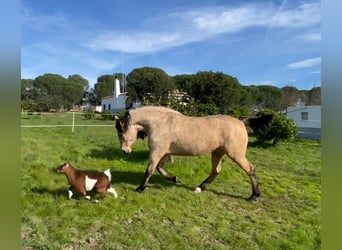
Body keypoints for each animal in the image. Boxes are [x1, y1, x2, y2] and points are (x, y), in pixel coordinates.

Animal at [114, 105, 260, 201]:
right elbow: (160, 168)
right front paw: (174, 179)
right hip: (217, 152)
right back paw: (200, 188)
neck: (159, 123)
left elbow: (150, 170)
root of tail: (241, 122)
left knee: (250, 170)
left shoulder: (157, 152)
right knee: (216, 171)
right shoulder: (164, 153)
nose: (124, 151)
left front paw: (140, 188)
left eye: (120, 133)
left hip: (235, 155)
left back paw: (254, 196)